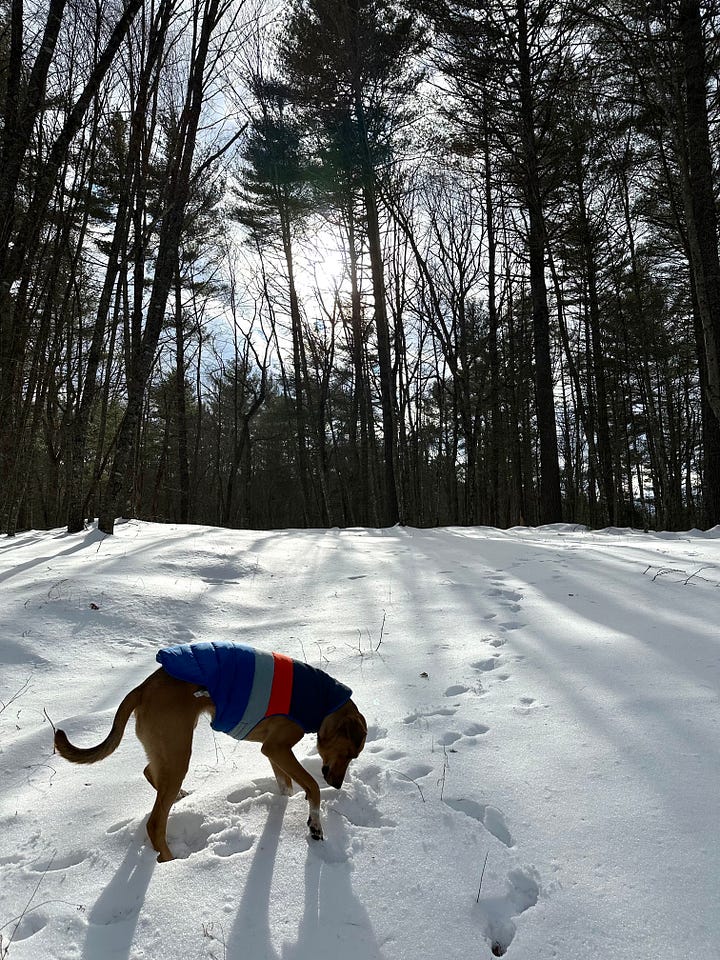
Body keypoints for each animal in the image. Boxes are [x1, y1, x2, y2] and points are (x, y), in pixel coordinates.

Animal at [53, 644, 366, 864]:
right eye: (349, 753)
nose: (338, 784)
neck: (323, 700)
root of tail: (143, 688)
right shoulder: (278, 748)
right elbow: (312, 786)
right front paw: (316, 824)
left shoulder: (273, 753)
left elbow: (286, 785)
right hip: (179, 752)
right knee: (155, 823)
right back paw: (170, 862)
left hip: (168, 752)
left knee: (151, 774)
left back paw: (178, 799)